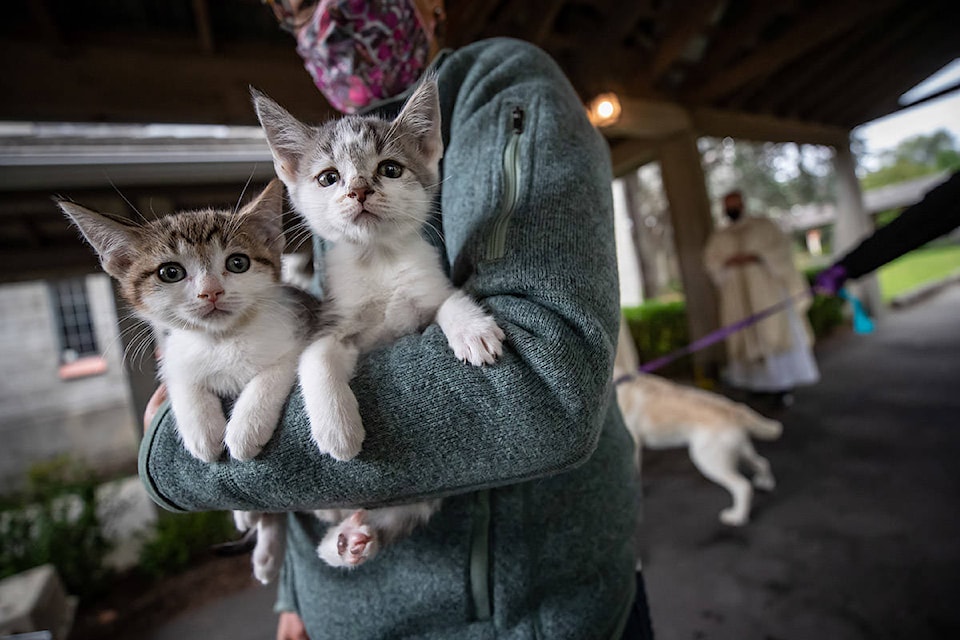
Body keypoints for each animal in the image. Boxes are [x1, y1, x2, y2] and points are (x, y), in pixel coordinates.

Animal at [58, 180, 320, 584]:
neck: (223, 339)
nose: (211, 291)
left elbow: (275, 369)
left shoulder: (302, 325)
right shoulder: (174, 355)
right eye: (170, 272)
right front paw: (202, 429)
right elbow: (182, 379)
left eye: (238, 263)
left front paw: (245, 428)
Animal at [251, 77, 506, 568]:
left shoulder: (428, 290)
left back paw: (355, 537)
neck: (378, 262)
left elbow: (448, 301)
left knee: (419, 502)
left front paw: (472, 329)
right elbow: (317, 356)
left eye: (389, 169)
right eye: (329, 177)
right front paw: (337, 428)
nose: (359, 190)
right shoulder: (333, 323)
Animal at [616, 320, 780, 524]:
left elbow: (634, 471)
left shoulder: (634, 444)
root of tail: (732, 409)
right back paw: (765, 483)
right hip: (739, 449)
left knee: (743, 486)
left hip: (708, 459)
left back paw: (737, 517)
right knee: (762, 462)